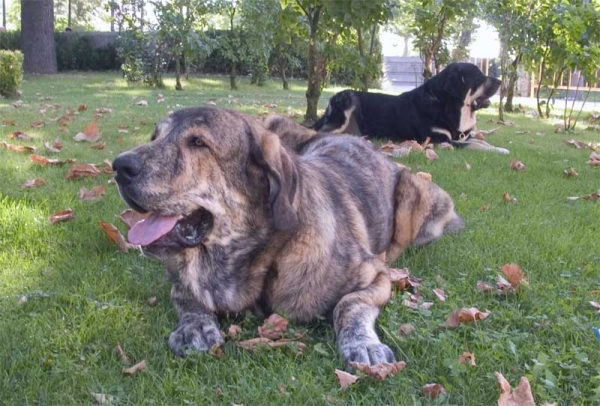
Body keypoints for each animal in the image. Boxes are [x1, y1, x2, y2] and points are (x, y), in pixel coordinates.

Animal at [111, 107, 464, 364]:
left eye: (198, 142)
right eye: (154, 136)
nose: (118, 166)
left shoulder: (375, 274)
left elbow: (350, 303)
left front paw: (362, 343)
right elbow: (185, 295)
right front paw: (195, 325)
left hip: (415, 195)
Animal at [316, 61, 508, 154]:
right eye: (479, 77)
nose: (500, 81)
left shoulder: (461, 137)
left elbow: (480, 141)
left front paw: (498, 147)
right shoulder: (439, 140)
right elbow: (475, 145)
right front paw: (499, 151)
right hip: (347, 101)